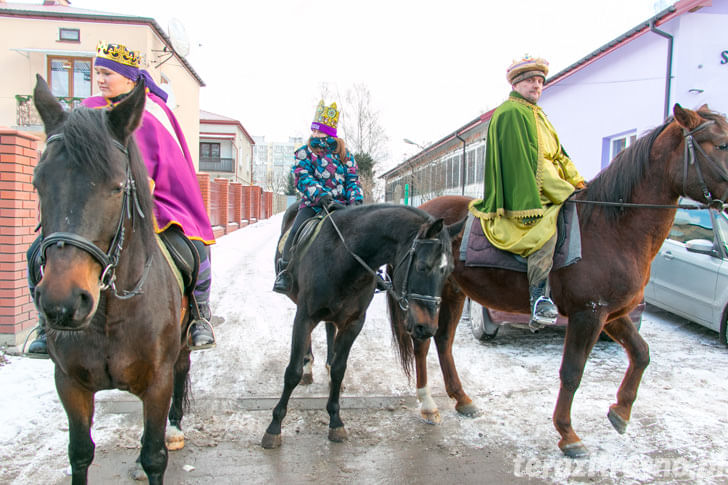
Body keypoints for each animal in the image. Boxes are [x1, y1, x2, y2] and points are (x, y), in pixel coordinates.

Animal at [31, 73, 192, 482]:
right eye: (38, 183)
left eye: (118, 186)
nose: (63, 303)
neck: (109, 313)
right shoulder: (69, 383)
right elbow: (79, 454)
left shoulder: (157, 382)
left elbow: (153, 456)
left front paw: (159, 445)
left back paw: (174, 429)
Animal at [262, 201, 464, 446]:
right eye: (422, 266)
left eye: (450, 270)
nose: (427, 328)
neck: (343, 258)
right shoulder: (305, 316)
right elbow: (292, 372)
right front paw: (274, 427)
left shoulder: (353, 323)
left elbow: (339, 369)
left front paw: (336, 420)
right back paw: (308, 366)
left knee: (329, 329)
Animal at [416, 104, 728, 456]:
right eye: (721, 144)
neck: (612, 227)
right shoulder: (587, 314)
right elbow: (572, 372)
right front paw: (568, 433)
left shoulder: (611, 314)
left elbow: (641, 353)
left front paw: (620, 411)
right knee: (422, 342)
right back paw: (428, 405)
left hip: (453, 292)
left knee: (442, 341)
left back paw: (461, 399)